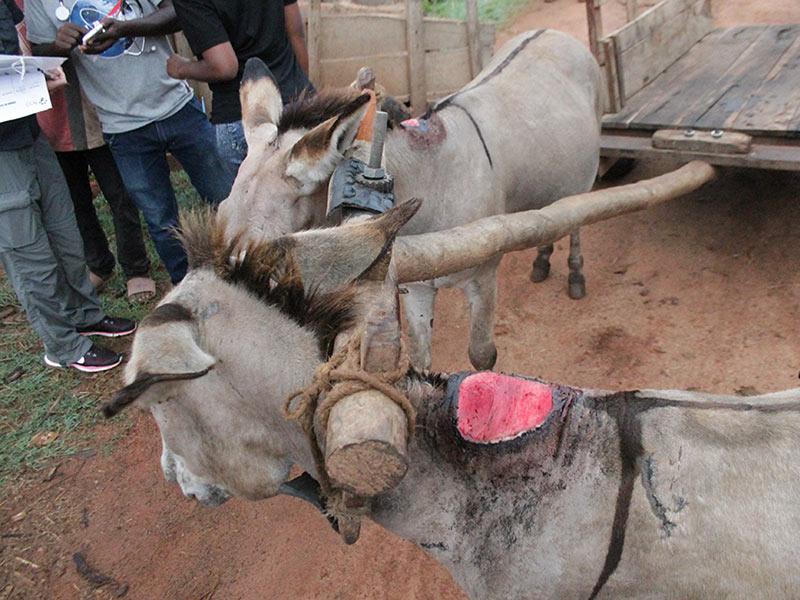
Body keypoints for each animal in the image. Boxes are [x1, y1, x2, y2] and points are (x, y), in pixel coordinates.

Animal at [217, 29, 603, 371]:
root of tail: (553, 32)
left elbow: (482, 356)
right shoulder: (416, 288)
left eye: (266, 260)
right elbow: (419, 359)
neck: (432, 183)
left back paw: (576, 273)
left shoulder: (483, 278)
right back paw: (542, 259)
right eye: (219, 211)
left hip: (586, 172)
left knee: (577, 219)